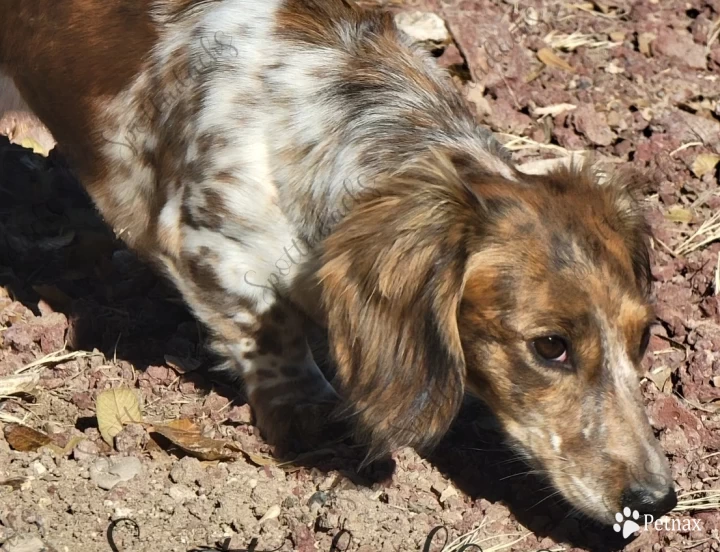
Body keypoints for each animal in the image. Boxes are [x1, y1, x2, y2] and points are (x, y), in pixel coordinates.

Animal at [0, 0, 676, 528]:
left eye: (643, 338)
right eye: (550, 347)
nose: (657, 502)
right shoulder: (209, 244)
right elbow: (270, 330)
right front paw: (310, 418)